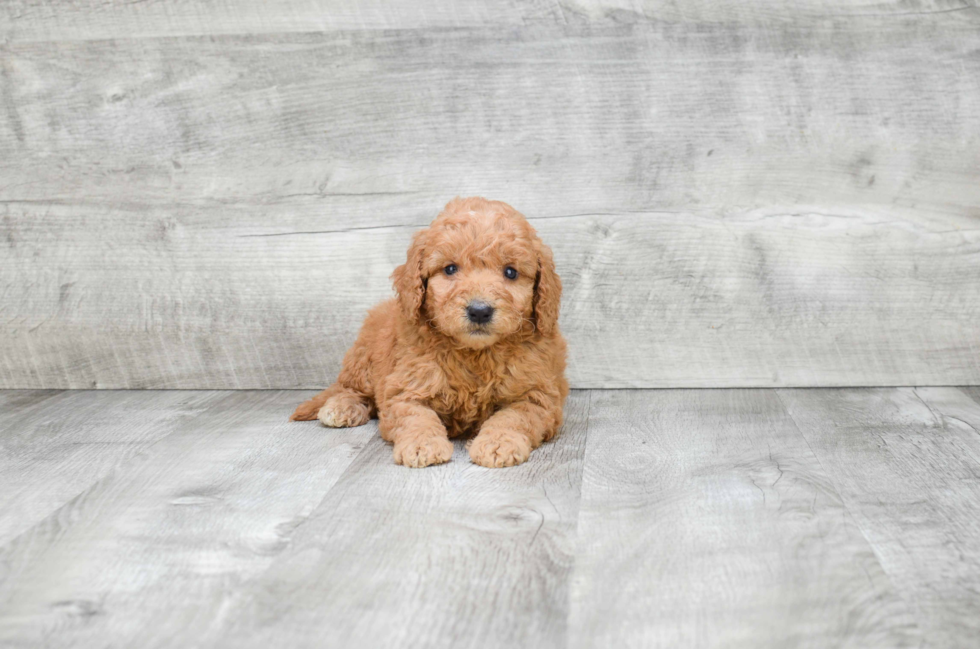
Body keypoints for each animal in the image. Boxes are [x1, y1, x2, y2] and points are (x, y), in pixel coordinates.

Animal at [290, 195, 568, 468]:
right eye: (450, 269)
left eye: (511, 272)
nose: (479, 311)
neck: (474, 354)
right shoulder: (405, 389)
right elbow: (417, 416)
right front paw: (421, 445)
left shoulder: (538, 396)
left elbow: (514, 417)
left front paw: (499, 443)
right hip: (364, 361)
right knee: (350, 389)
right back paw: (341, 407)